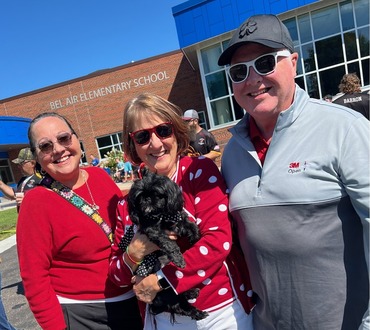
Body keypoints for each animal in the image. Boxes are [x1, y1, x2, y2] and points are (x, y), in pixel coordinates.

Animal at [127, 169, 208, 320]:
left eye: (157, 193)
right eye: (139, 196)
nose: (146, 199)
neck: (160, 215)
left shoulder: (178, 221)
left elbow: (192, 227)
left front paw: (197, 240)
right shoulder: (153, 230)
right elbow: (169, 243)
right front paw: (178, 259)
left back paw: (191, 293)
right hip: (166, 292)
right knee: (181, 306)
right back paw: (197, 311)